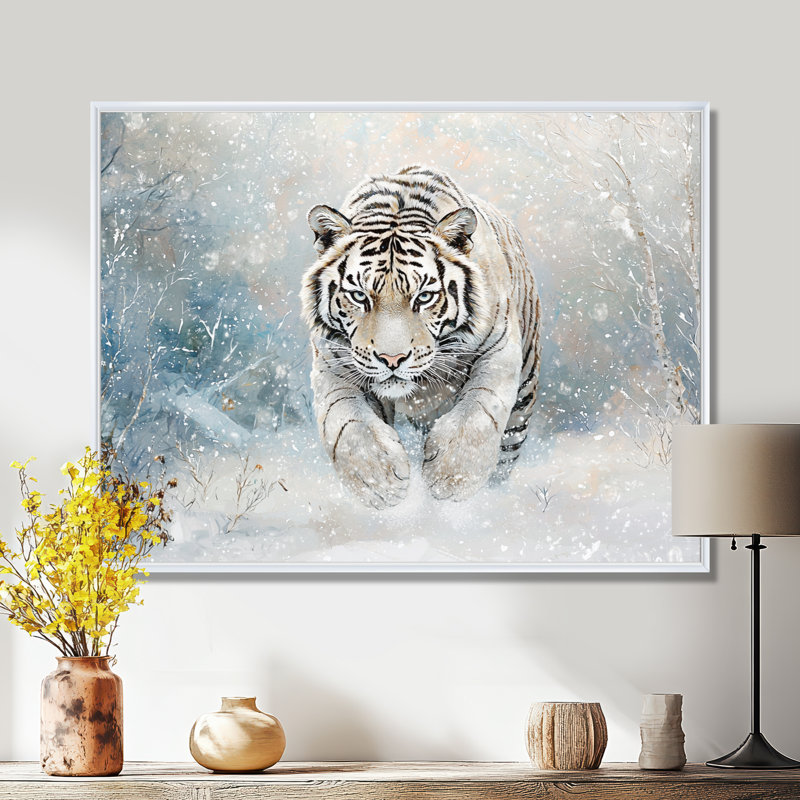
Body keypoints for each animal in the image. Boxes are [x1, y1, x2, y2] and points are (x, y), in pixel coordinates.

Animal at [300, 166, 541, 510]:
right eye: (359, 296)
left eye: (424, 297)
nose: (392, 359)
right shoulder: (334, 363)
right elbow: (345, 421)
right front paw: (380, 483)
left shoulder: (499, 349)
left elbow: (479, 411)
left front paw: (451, 478)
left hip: (522, 402)